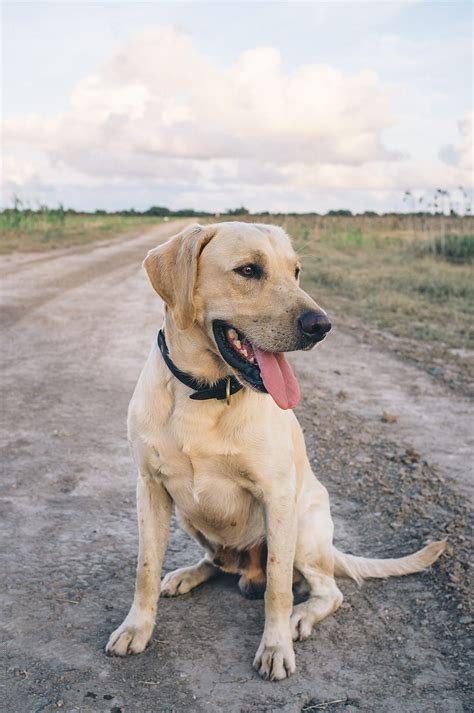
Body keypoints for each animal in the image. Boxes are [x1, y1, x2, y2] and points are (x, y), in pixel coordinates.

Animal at [105, 221, 446, 680]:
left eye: (296, 272)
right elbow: (144, 569)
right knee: (216, 562)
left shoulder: (277, 497)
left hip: (304, 528)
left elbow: (279, 588)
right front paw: (135, 628)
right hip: (192, 517)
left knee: (327, 590)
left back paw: (300, 616)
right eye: (249, 270)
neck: (205, 393)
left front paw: (276, 645)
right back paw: (188, 575)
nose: (322, 325)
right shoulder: (150, 489)